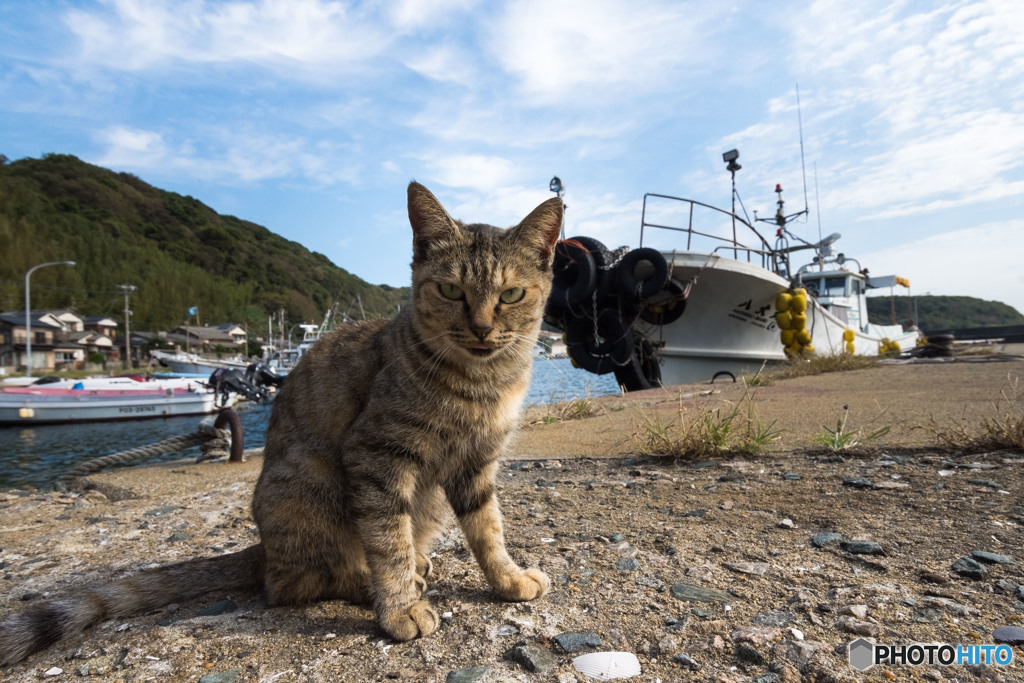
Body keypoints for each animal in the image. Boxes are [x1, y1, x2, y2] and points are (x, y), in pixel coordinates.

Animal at [0, 183, 561, 667]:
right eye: (450, 290)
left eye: (511, 295)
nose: (482, 328)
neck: (483, 384)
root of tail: (263, 549)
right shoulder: (375, 454)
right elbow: (388, 540)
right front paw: (399, 607)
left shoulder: (477, 463)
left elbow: (488, 529)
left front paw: (507, 580)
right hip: (307, 484)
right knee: (295, 583)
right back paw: (368, 584)